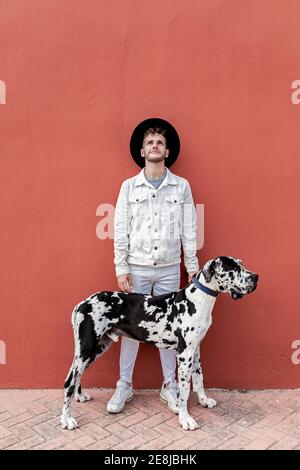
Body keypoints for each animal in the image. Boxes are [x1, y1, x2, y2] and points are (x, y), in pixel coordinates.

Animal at [60, 255, 258, 432]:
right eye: (233, 268)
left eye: (241, 264)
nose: (256, 277)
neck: (198, 299)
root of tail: (82, 303)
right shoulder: (184, 353)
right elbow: (184, 390)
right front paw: (185, 419)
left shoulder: (195, 350)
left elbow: (199, 378)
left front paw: (204, 401)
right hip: (86, 348)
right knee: (69, 381)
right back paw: (67, 419)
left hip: (96, 348)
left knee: (77, 376)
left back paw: (79, 397)